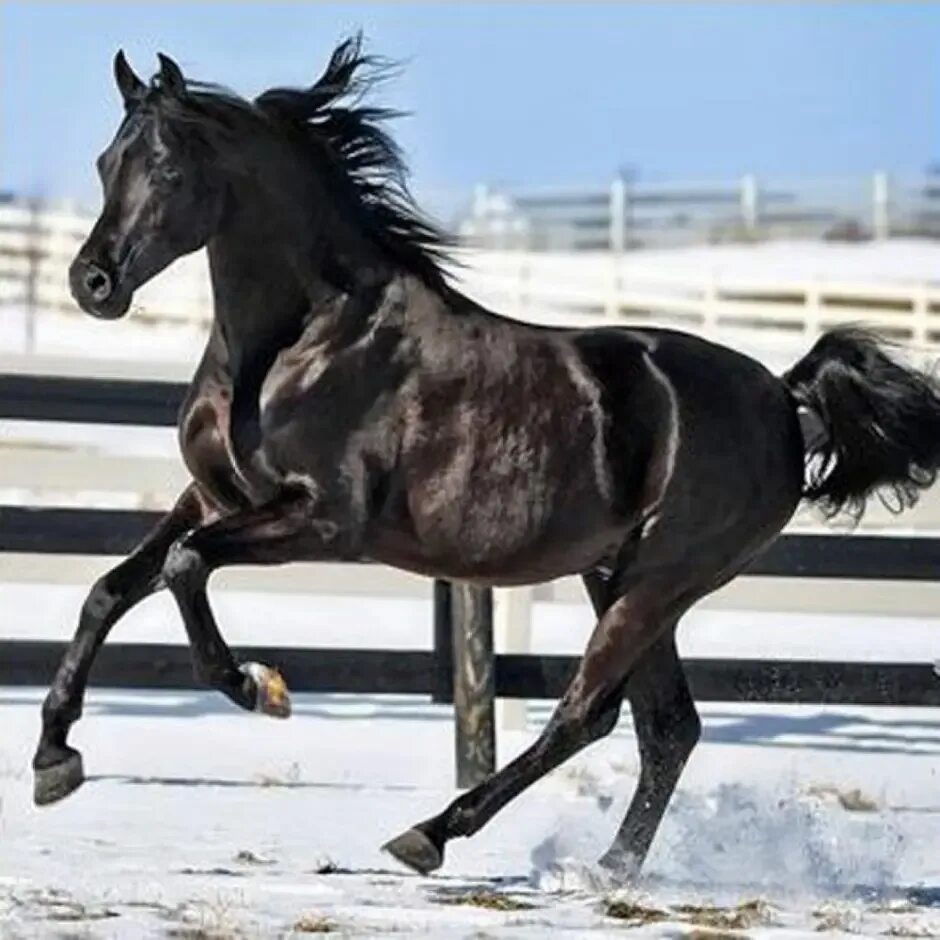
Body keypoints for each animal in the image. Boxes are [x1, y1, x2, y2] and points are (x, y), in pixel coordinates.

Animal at [36, 35, 940, 872]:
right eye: (106, 162)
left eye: (169, 171)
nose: (93, 283)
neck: (300, 342)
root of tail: (784, 400)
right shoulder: (216, 496)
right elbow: (112, 587)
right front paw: (55, 762)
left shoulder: (322, 522)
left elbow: (186, 565)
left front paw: (260, 688)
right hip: (619, 575)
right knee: (666, 726)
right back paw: (609, 871)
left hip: (660, 580)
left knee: (587, 713)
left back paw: (430, 836)